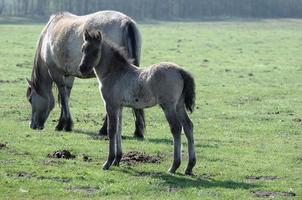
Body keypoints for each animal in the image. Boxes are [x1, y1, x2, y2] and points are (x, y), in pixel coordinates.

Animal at [25, 9, 146, 138]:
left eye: (30, 99)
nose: (32, 125)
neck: (48, 34)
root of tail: (126, 21)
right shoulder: (69, 75)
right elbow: (67, 95)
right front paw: (64, 123)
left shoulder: (55, 73)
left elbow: (63, 97)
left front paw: (64, 124)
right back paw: (137, 130)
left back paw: (104, 130)